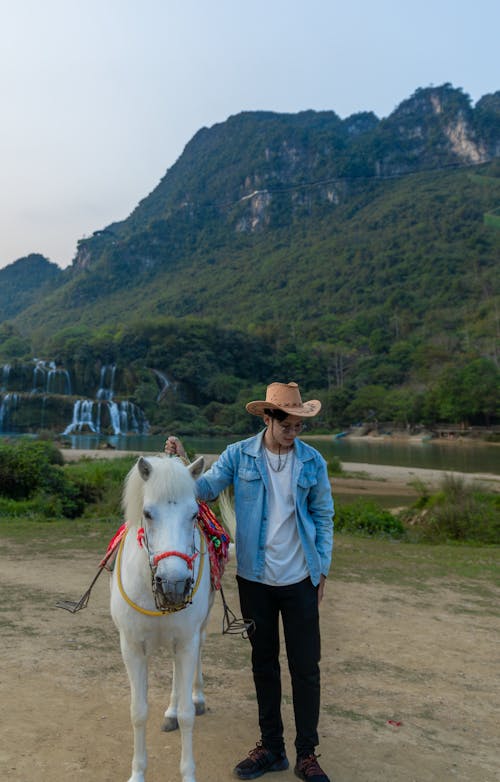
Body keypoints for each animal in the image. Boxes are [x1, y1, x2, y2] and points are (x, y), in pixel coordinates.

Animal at [110, 456, 214, 782]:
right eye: (147, 513)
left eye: (193, 514)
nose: (174, 584)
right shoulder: (131, 647)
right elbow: (138, 712)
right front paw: (137, 773)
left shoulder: (187, 642)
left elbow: (188, 715)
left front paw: (189, 774)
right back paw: (169, 712)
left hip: (195, 633)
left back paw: (196, 697)